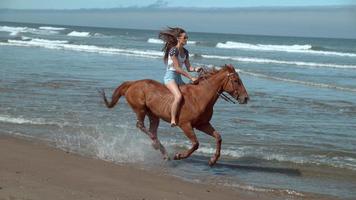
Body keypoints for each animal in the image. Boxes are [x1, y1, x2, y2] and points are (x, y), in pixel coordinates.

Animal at [101, 64, 248, 166]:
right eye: (236, 80)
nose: (246, 98)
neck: (200, 97)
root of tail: (132, 83)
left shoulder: (202, 124)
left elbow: (218, 137)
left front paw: (212, 160)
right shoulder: (185, 125)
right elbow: (196, 144)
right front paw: (179, 155)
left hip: (154, 115)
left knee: (151, 129)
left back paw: (161, 150)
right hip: (140, 109)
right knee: (141, 126)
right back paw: (160, 147)